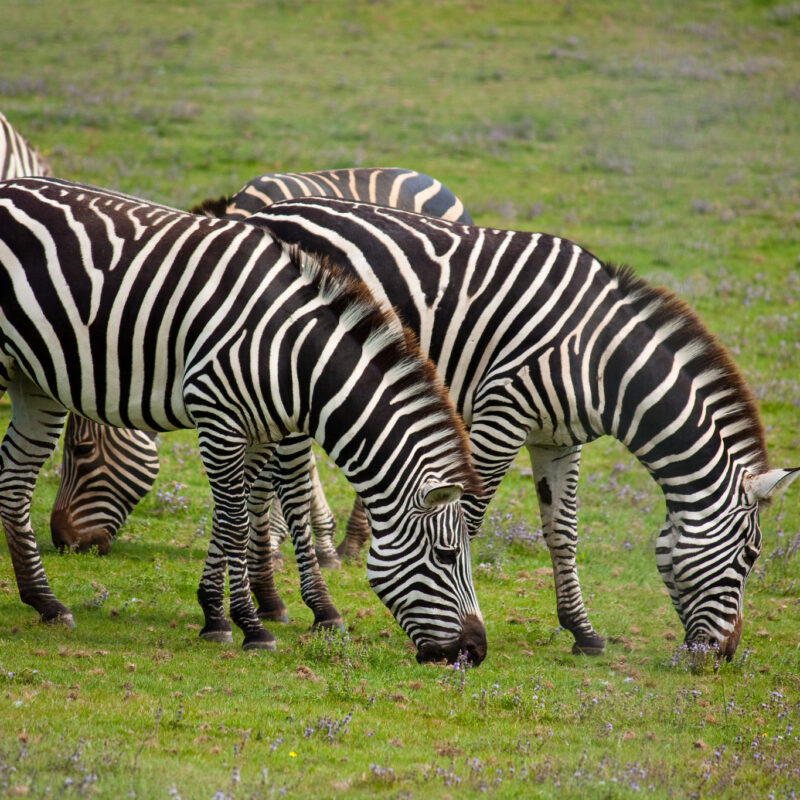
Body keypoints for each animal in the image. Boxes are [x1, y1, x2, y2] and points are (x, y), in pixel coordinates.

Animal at [237, 196, 797, 658]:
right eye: (750, 556)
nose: (724, 655)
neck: (601, 360)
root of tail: (263, 211)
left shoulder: (559, 440)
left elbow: (562, 531)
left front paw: (582, 631)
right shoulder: (501, 414)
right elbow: (469, 519)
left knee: (258, 480)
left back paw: (268, 600)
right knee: (286, 484)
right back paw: (320, 609)